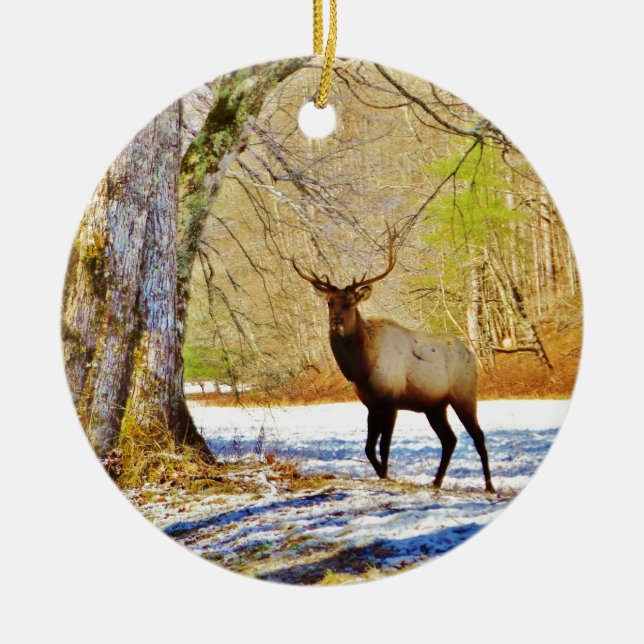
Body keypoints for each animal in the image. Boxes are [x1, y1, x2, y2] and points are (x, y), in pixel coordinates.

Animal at [292, 230, 495, 493]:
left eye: (350, 302)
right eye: (330, 302)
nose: (336, 321)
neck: (363, 368)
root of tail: (471, 354)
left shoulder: (391, 400)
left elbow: (384, 447)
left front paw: (387, 477)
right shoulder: (371, 404)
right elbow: (368, 448)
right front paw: (382, 474)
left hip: (464, 393)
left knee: (478, 436)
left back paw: (489, 486)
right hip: (434, 405)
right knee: (449, 439)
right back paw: (436, 481)